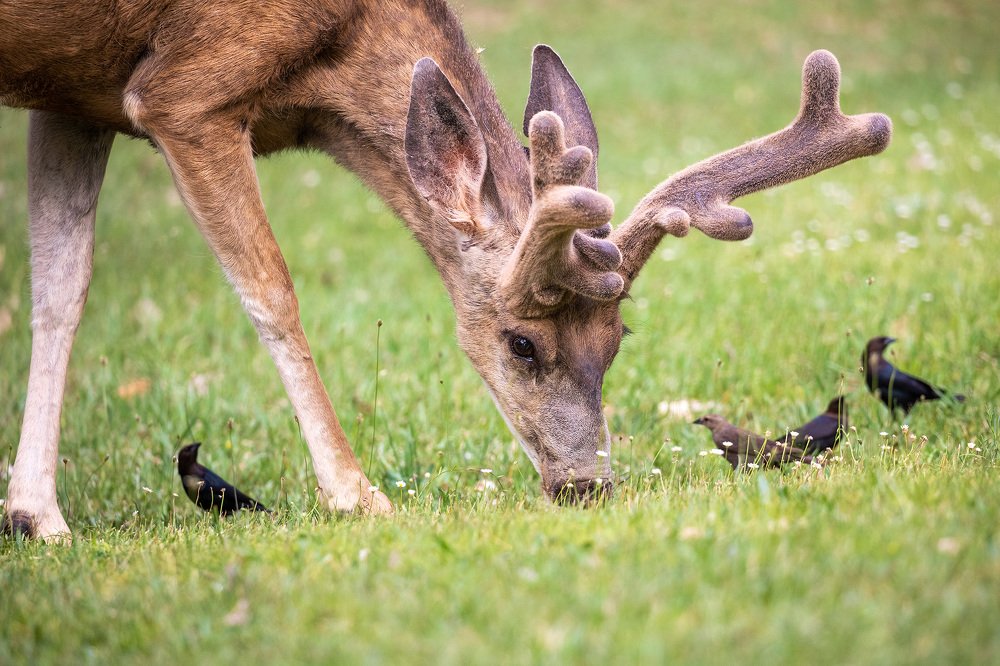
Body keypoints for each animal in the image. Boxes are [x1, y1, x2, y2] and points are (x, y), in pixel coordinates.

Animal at [0, 0, 891, 541]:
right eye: (522, 344)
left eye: (618, 340)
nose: (586, 485)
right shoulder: (182, 94)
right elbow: (271, 291)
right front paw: (356, 494)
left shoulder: (74, 94)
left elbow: (59, 286)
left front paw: (34, 515)